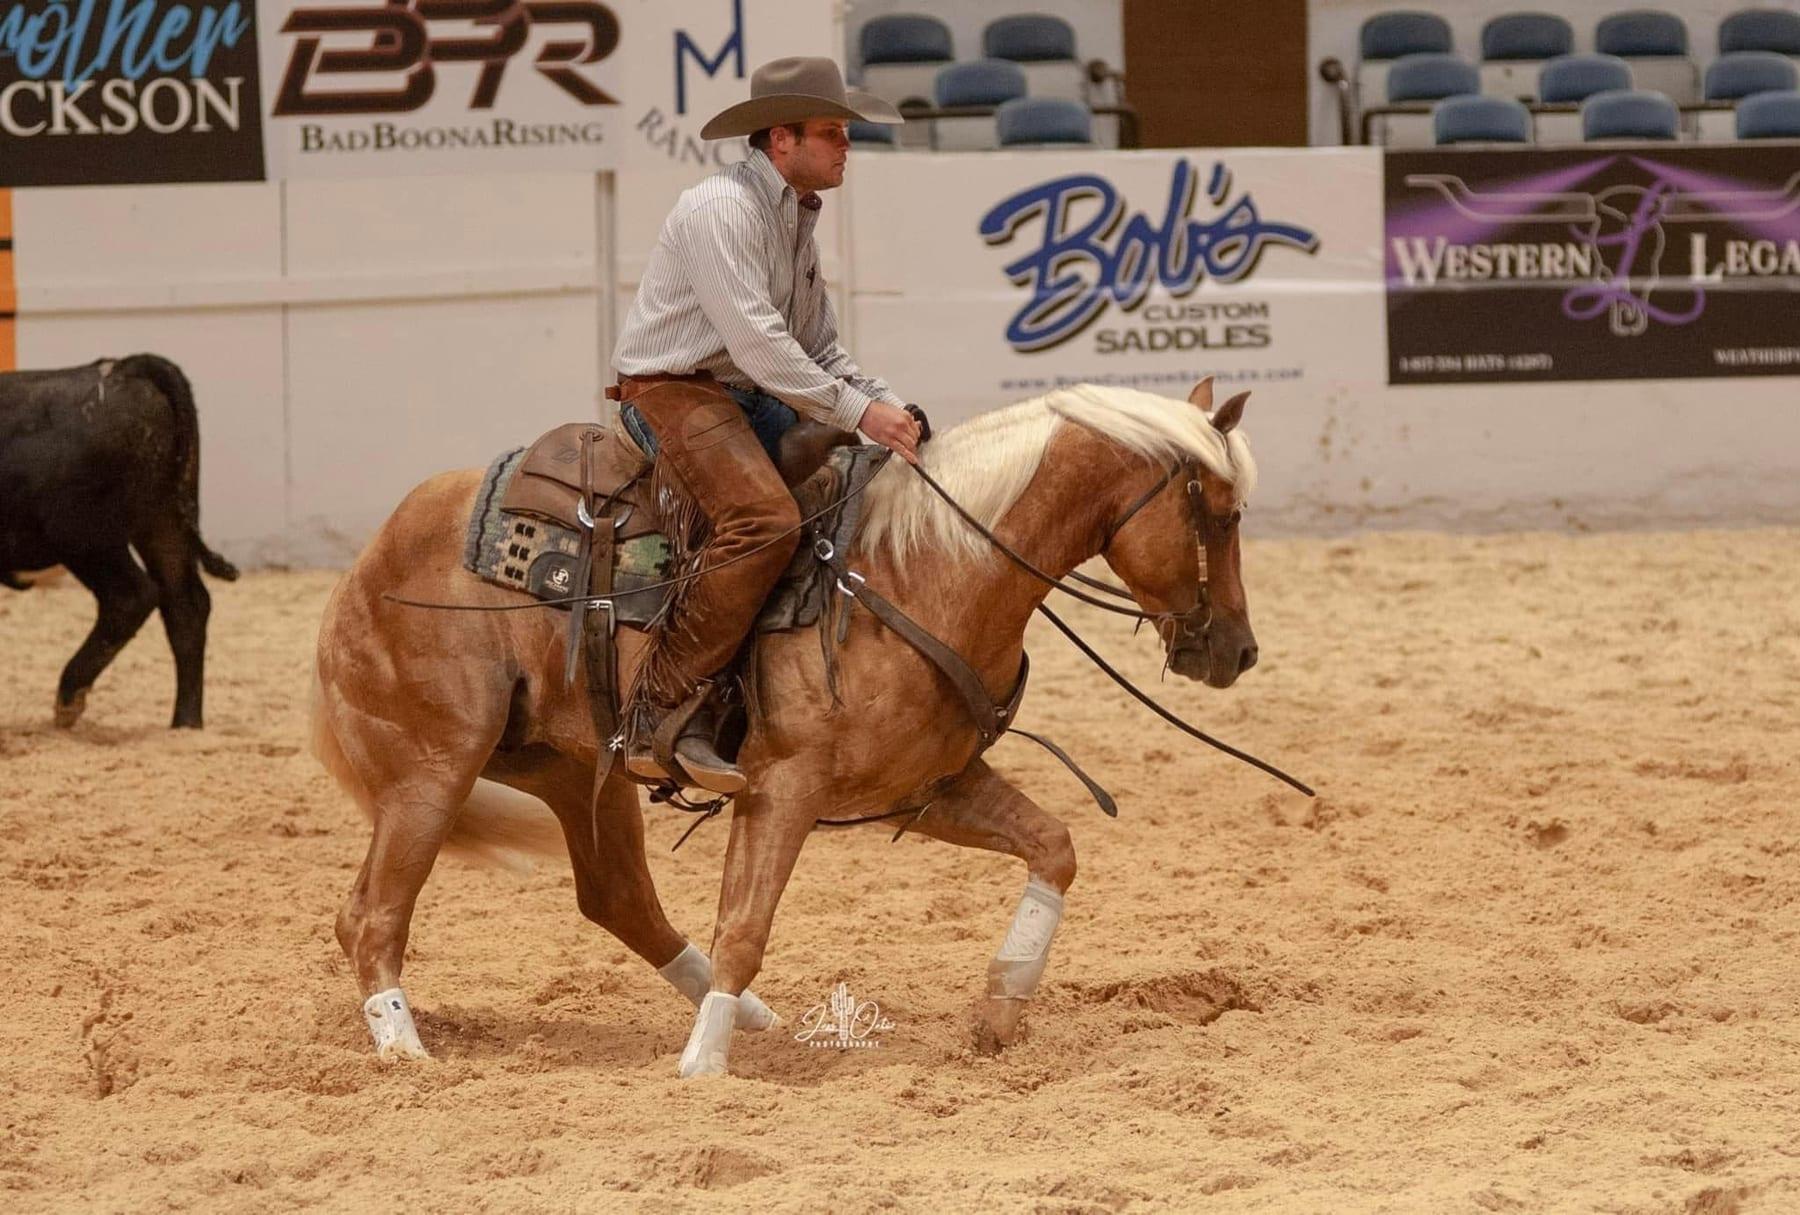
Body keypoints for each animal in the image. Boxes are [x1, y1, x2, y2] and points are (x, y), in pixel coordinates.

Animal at [309, 377, 1259, 1076]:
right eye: (1218, 512)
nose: (1236, 651)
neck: (920, 566)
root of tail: (372, 555)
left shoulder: (928, 787)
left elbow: (1054, 846)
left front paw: (1000, 1007)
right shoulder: (781, 787)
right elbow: (746, 924)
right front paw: (703, 1066)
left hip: (577, 770)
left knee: (619, 899)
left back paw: (752, 1017)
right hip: (435, 767)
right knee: (370, 914)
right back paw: (404, 1049)